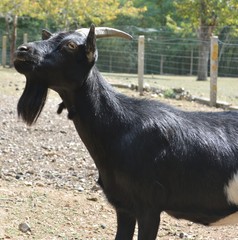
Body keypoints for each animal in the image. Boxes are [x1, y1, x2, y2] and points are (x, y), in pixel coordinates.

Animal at [13, 24, 238, 240]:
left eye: (71, 45)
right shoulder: (123, 206)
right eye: (48, 37)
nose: (22, 51)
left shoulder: (149, 207)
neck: (121, 127)